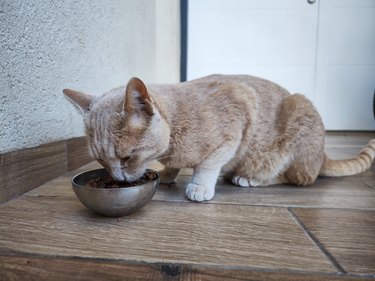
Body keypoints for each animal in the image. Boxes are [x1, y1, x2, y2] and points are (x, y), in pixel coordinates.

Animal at [64, 74, 375, 201]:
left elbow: (208, 164)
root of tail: (323, 155)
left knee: (297, 178)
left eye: (127, 158)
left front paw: (199, 185)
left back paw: (248, 178)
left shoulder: (239, 113)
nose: (117, 179)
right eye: (102, 162)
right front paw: (169, 173)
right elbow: (175, 165)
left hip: (298, 116)